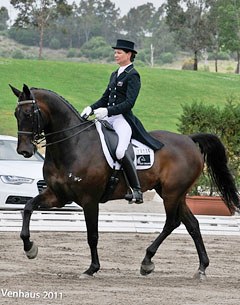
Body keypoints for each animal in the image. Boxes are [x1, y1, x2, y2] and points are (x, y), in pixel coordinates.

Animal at [10, 84, 239, 280]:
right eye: (16, 114)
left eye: (29, 114)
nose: (24, 151)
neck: (73, 144)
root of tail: (189, 139)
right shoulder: (58, 196)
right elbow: (28, 207)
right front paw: (30, 248)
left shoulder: (89, 200)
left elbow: (92, 235)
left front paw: (92, 269)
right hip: (174, 193)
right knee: (192, 224)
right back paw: (201, 268)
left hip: (172, 193)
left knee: (172, 223)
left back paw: (147, 261)